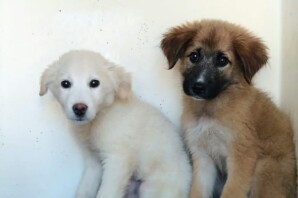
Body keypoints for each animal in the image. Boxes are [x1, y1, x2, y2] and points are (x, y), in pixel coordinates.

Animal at [39, 50, 191, 198]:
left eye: (94, 83)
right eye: (65, 84)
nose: (79, 108)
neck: (97, 120)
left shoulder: (117, 160)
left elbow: (106, 193)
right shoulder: (93, 162)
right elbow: (84, 190)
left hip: (150, 188)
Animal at [162, 19, 296, 198]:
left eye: (222, 60)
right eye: (194, 56)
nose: (198, 87)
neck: (210, 110)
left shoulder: (242, 157)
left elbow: (232, 191)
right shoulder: (203, 157)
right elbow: (198, 191)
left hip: (265, 168)